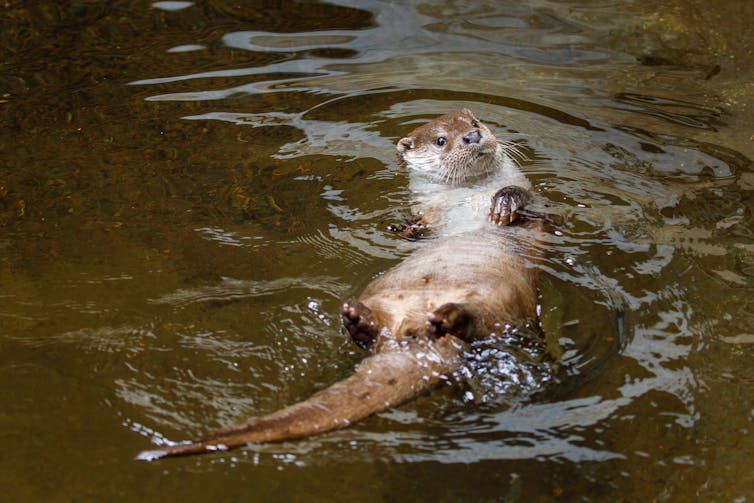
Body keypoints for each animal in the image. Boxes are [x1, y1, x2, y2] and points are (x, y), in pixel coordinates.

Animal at [135, 109, 544, 460]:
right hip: (383, 293)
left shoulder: (534, 204)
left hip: (505, 299)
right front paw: (404, 228)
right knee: (373, 334)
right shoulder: (429, 211)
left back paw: (448, 317)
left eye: (473, 122)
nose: (473, 136)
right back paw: (358, 320)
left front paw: (504, 205)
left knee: (480, 326)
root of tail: (416, 335)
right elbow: (418, 226)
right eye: (442, 140)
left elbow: (527, 201)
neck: (466, 198)